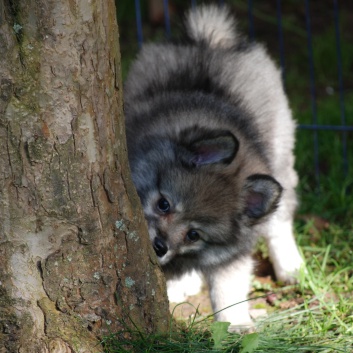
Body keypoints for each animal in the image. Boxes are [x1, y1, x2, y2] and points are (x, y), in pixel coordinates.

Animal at [122, 4, 302, 330]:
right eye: (164, 204)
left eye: (194, 235)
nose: (159, 247)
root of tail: (212, 39)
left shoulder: (231, 255)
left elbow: (228, 288)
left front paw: (236, 325)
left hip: (281, 157)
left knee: (280, 220)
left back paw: (291, 266)